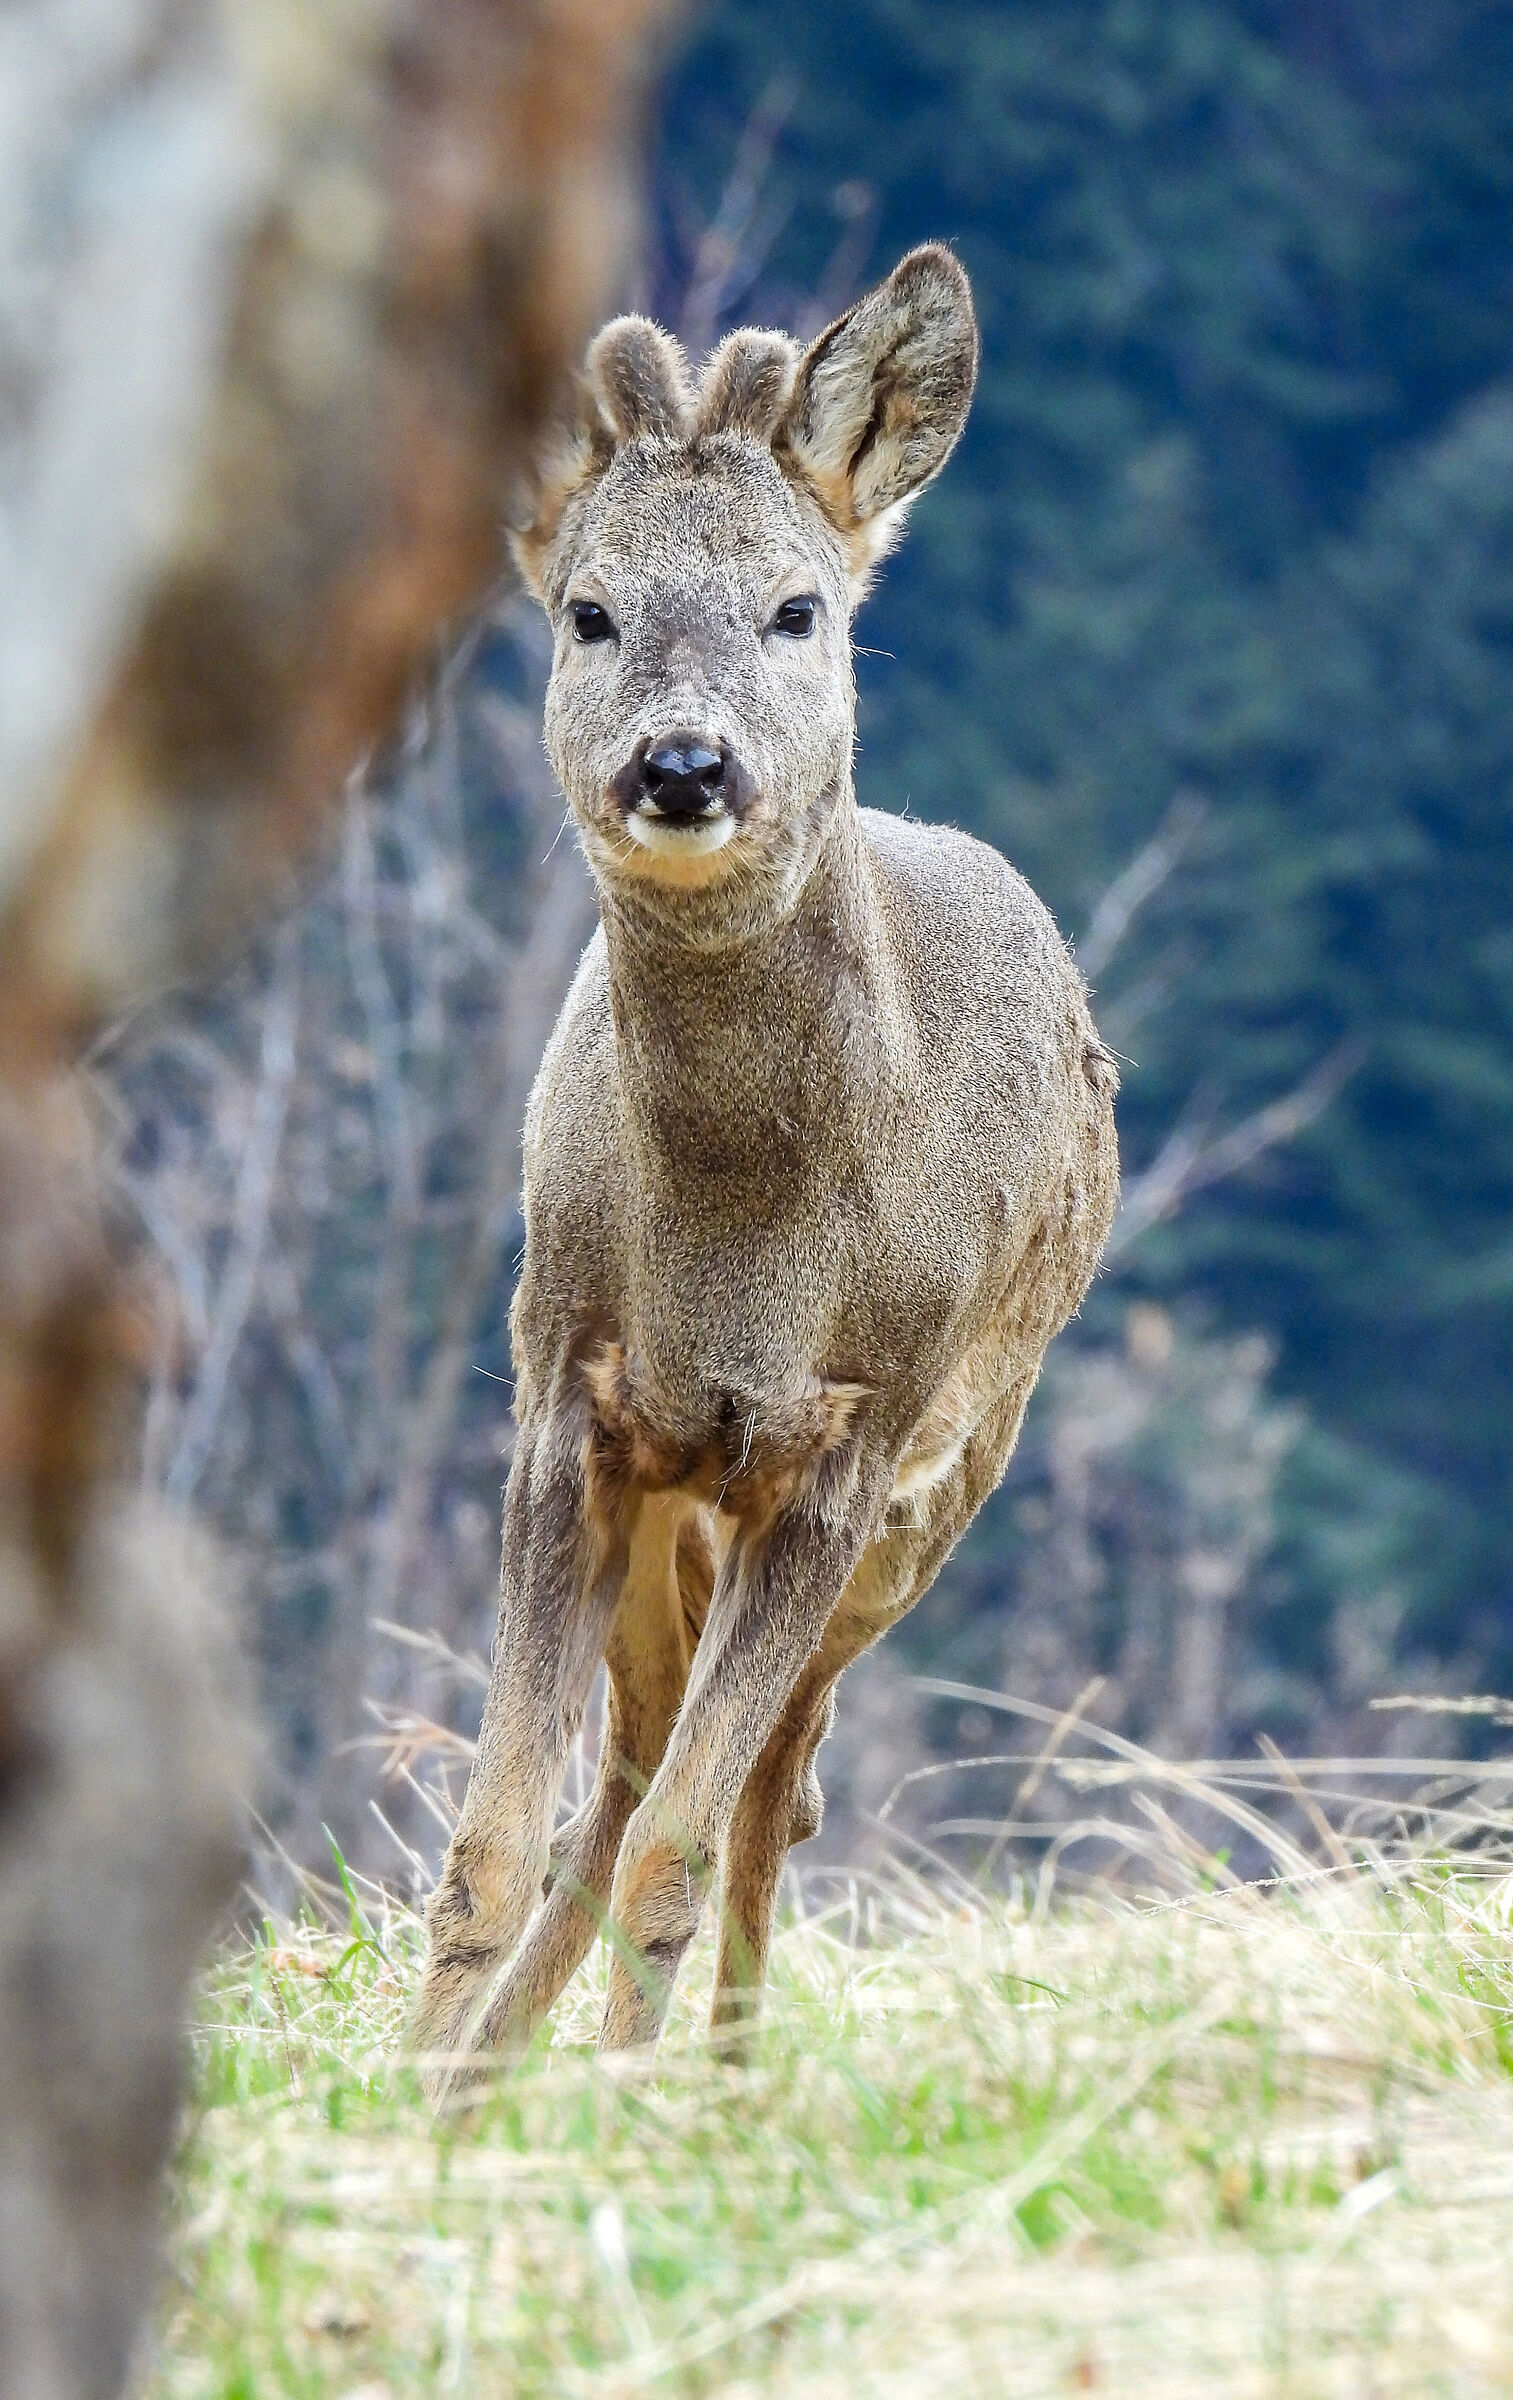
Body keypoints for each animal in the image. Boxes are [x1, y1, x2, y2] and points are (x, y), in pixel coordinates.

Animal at [410, 244, 1119, 2082]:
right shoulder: (567, 1394)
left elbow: (682, 1842)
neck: (741, 1250)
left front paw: (626, 2101)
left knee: (765, 1795)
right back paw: (507, 2073)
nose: (681, 763)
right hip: (682, 1510)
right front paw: (417, 2094)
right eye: (587, 613)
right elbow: (494, 1836)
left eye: (796, 611)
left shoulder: (852, 1436)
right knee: (635, 1771)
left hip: (946, 1488)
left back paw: (715, 2081)